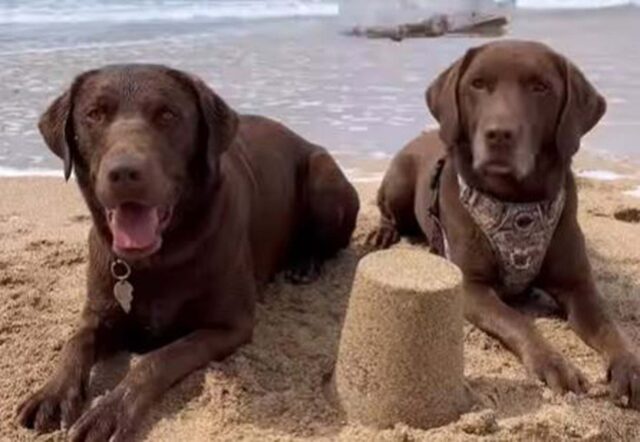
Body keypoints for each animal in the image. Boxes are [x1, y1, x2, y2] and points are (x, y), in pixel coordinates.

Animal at [16, 64, 360, 440]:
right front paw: (51, 392)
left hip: (323, 177)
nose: (124, 172)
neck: (157, 258)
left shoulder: (230, 326)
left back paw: (304, 263)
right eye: (94, 114)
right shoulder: (100, 308)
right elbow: (76, 341)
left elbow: (157, 359)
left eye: (167, 114)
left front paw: (111, 411)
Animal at [368, 41, 640, 408]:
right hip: (398, 182)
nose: (498, 134)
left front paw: (630, 365)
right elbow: (518, 321)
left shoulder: (579, 287)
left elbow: (611, 328)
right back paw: (383, 232)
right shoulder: (472, 286)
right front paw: (553, 362)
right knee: (388, 209)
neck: (517, 202)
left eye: (540, 87)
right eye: (478, 84)